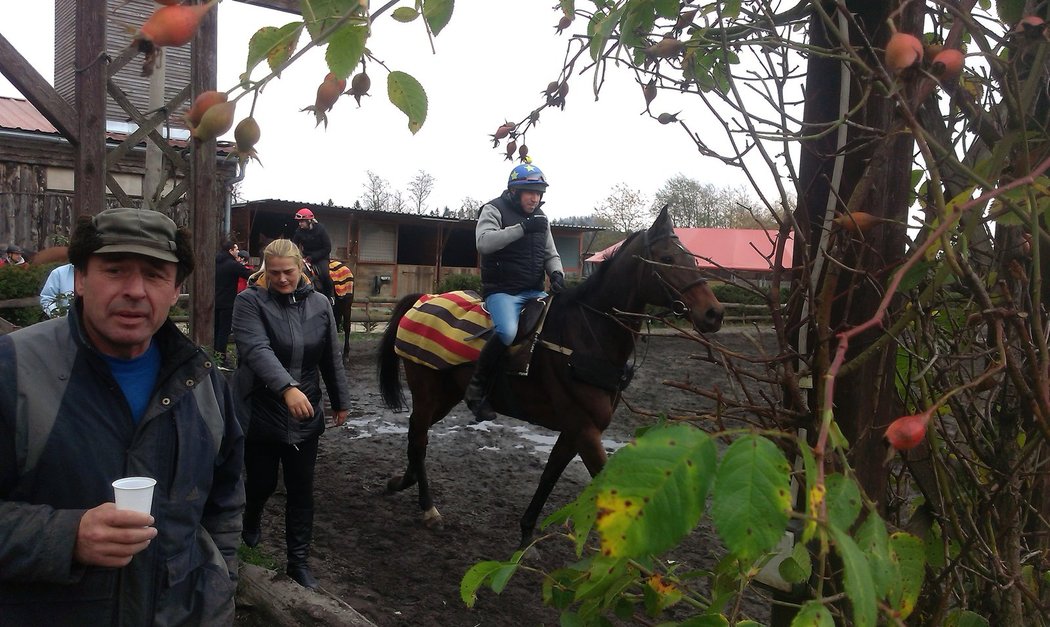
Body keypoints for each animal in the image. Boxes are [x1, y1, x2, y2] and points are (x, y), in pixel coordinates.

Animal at [380, 206, 730, 546]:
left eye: (692, 258)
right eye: (667, 259)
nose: (714, 313)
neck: (586, 336)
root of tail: (422, 299)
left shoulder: (575, 430)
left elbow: (550, 474)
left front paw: (526, 532)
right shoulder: (584, 429)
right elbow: (604, 481)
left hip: (447, 394)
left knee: (416, 432)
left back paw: (404, 481)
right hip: (428, 391)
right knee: (419, 438)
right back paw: (428, 508)